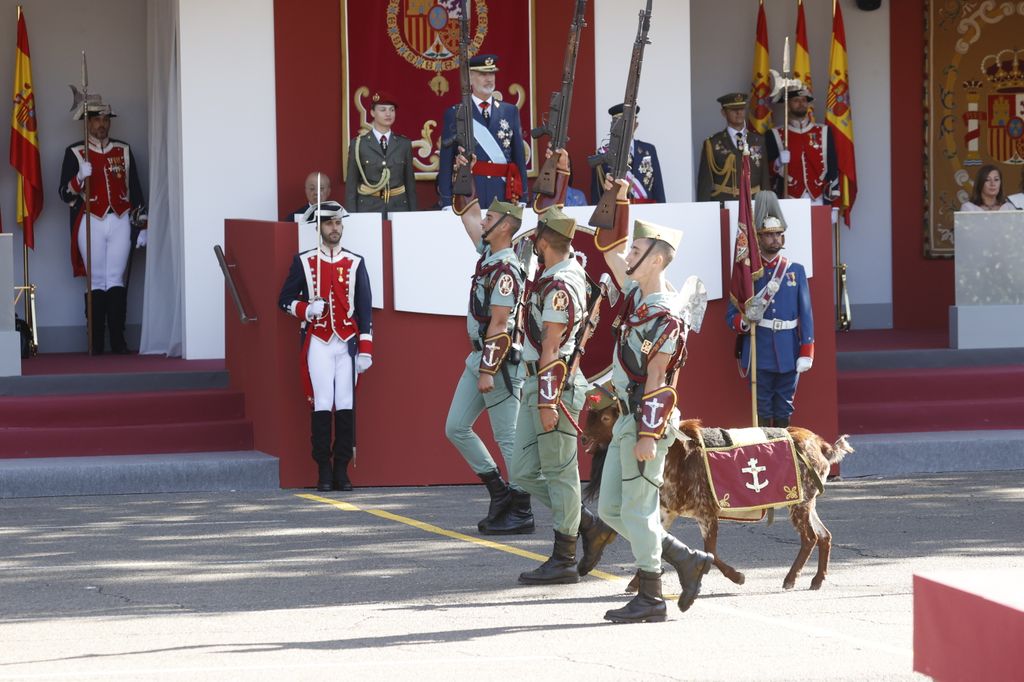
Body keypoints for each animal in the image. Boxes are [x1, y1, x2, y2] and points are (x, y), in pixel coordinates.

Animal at [585, 403, 856, 589]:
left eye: (607, 417)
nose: (585, 437)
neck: (672, 456)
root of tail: (821, 445)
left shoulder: (706, 512)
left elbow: (711, 552)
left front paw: (738, 577)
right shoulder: (667, 511)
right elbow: (656, 543)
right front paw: (635, 583)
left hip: (800, 502)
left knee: (811, 537)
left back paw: (790, 579)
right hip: (808, 503)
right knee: (825, 536)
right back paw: (817, 579)